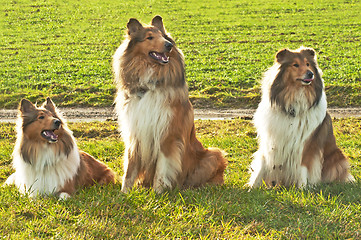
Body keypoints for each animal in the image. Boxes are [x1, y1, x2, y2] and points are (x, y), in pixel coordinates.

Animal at [113, 15, 225, 193]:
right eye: (149, 37)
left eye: (163, 37)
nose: (169, 45)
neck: (151, 84)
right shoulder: (135, 134)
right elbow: (129, 169)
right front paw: (124, 193)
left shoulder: (167, 135)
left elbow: (162, 168)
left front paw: (158, 192)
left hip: (213, 155)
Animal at [248, 47, 354, 188]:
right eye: (295, 65)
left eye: (308, 64)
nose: (310, 74)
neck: (293, 103)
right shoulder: (270, 141)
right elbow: (262, 166)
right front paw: (252, 188)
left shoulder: (306, 145)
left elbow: (302, 167)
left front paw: (302, 189)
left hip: (337, 157)